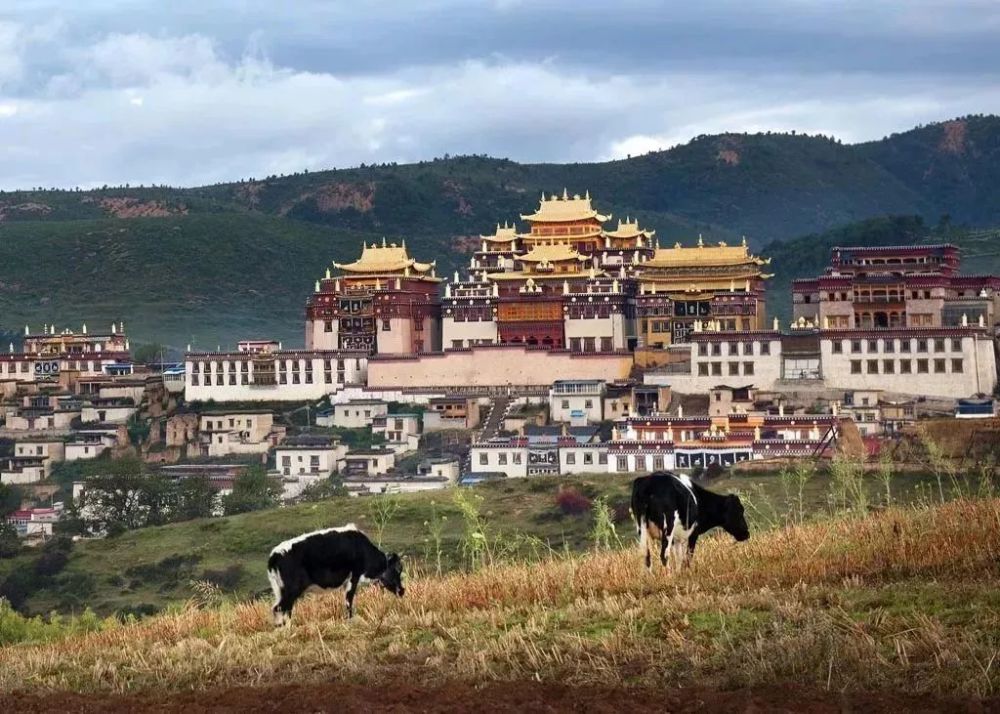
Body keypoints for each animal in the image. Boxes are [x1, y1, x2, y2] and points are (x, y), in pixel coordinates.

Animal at [270, 524, 406, 624]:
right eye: (398, 569)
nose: (402, 591)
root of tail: (274, 556)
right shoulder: (354, 576)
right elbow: (349, 601)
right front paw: (350, 620)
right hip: (292, 590)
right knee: (280, 609)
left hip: (280, 591)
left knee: (283, 609)